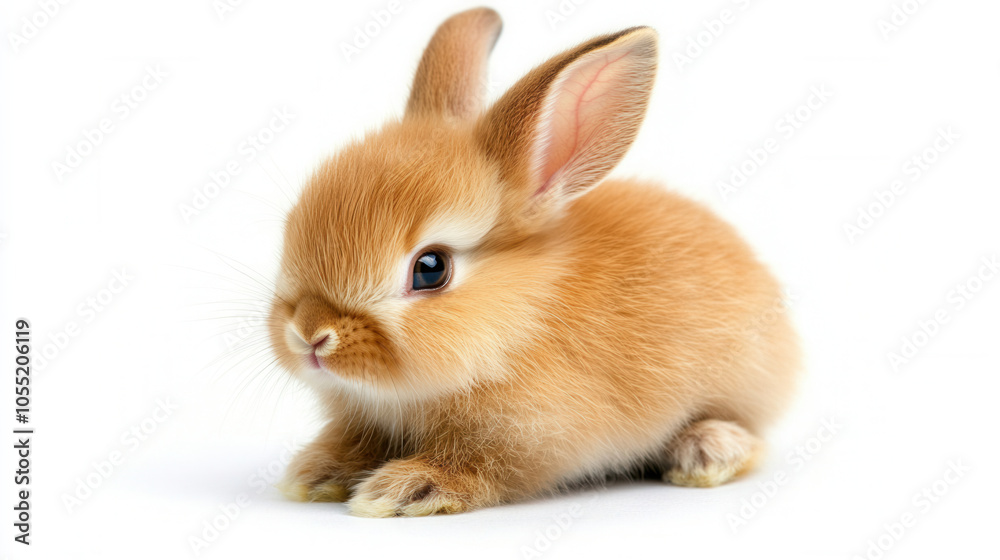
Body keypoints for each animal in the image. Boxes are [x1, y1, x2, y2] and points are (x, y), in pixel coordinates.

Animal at [270, 7, 800, 517]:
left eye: (431, 268)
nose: (310, 335)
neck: (520, 317)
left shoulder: (530, 436)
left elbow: (485, 466)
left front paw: (404, 489)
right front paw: (315, 475)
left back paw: (706, 452)